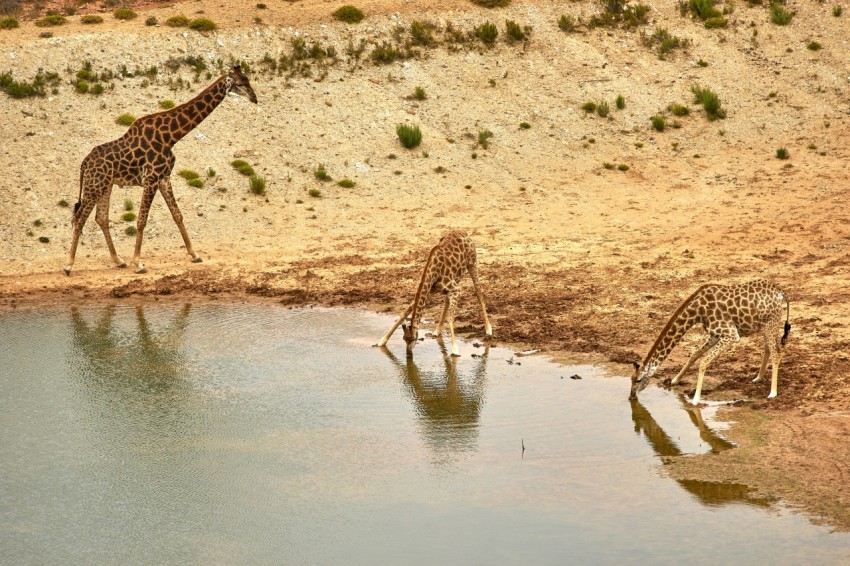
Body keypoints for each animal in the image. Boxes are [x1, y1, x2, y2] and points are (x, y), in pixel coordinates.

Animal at [63, 65, 258, 276]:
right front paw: (138, 263)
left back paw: (119, 261)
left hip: (106, 185)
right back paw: (68, 265)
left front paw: (194, 254)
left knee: (101, 218)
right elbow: (141, 220)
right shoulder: (151, 178)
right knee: (79, 218)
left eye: (248, 79)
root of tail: (84, 163)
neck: (171, 136)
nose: (254, 98)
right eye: (239, 83)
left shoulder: (164, 177)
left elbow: (177, 215)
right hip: (94, 185)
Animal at [629, 280, 791, 405]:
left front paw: (695, 400)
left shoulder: (731, 334)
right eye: (631, 378)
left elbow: (703, 362)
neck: (697, 311)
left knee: (776, 353)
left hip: (771, 323)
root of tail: (781, 293)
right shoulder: (715, 334)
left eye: (638, 380)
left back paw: (772, 392)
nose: (631, 397)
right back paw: (758, 378)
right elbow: (695, 354)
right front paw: (675, 380)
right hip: (765, 325)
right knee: (769, 349)